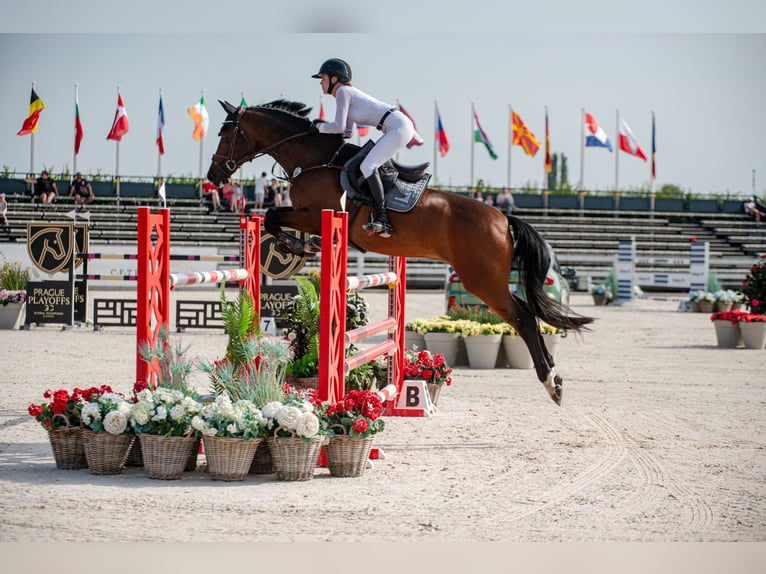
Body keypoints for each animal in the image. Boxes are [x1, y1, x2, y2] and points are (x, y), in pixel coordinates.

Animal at [206, 99, 592, 404]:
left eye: (225, 134)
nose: (213, 176)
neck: (314, 159)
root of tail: (503, 218)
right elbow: (273, 216)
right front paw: (297, 246)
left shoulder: (316, 214)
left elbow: (274, 216)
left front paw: (297, 245)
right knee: (531, 317)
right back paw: (554, 377)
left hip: (483, 282)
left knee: (525, 319)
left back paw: (551, 384)